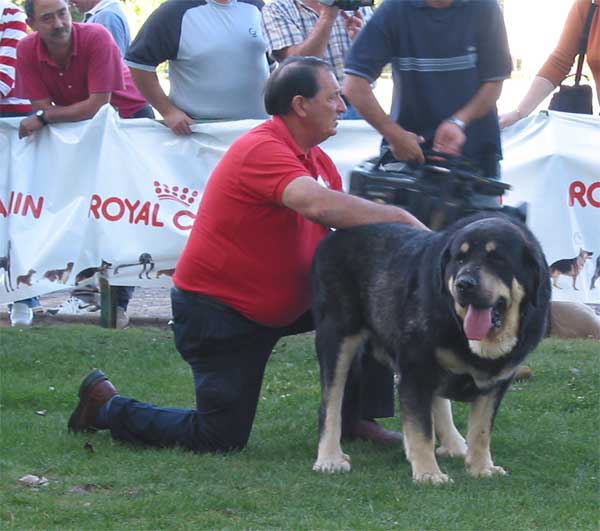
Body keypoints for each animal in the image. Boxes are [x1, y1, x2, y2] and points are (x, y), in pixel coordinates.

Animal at [312, 214, 552, 484]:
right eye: (460, 259)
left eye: (497, 258)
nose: (464, 284)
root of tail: (334, 236)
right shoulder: (415, 369)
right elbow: (421, 428)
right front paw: (428, 473)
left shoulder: (496, 383)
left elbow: (481, 431)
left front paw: (481, 468)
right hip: (338, 337)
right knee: (331, 403)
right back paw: (330, 458)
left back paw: (455, 445)